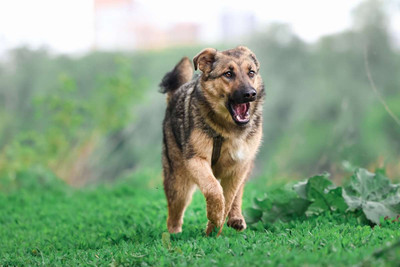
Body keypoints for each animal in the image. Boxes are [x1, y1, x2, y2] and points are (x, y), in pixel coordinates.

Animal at [159, 46, 266, 237]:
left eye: (251, 72)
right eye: (228, 74)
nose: (250, 94)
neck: (228, 129)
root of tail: (175, 94)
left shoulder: (239, 166)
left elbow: (229, 197)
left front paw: (215, 228)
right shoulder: (196, 160)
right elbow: (215, 190)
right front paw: (215, 220)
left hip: (246, 166)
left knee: (238, 193)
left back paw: (236, 218)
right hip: (179, 182)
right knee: (174, 215)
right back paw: (174, 235)